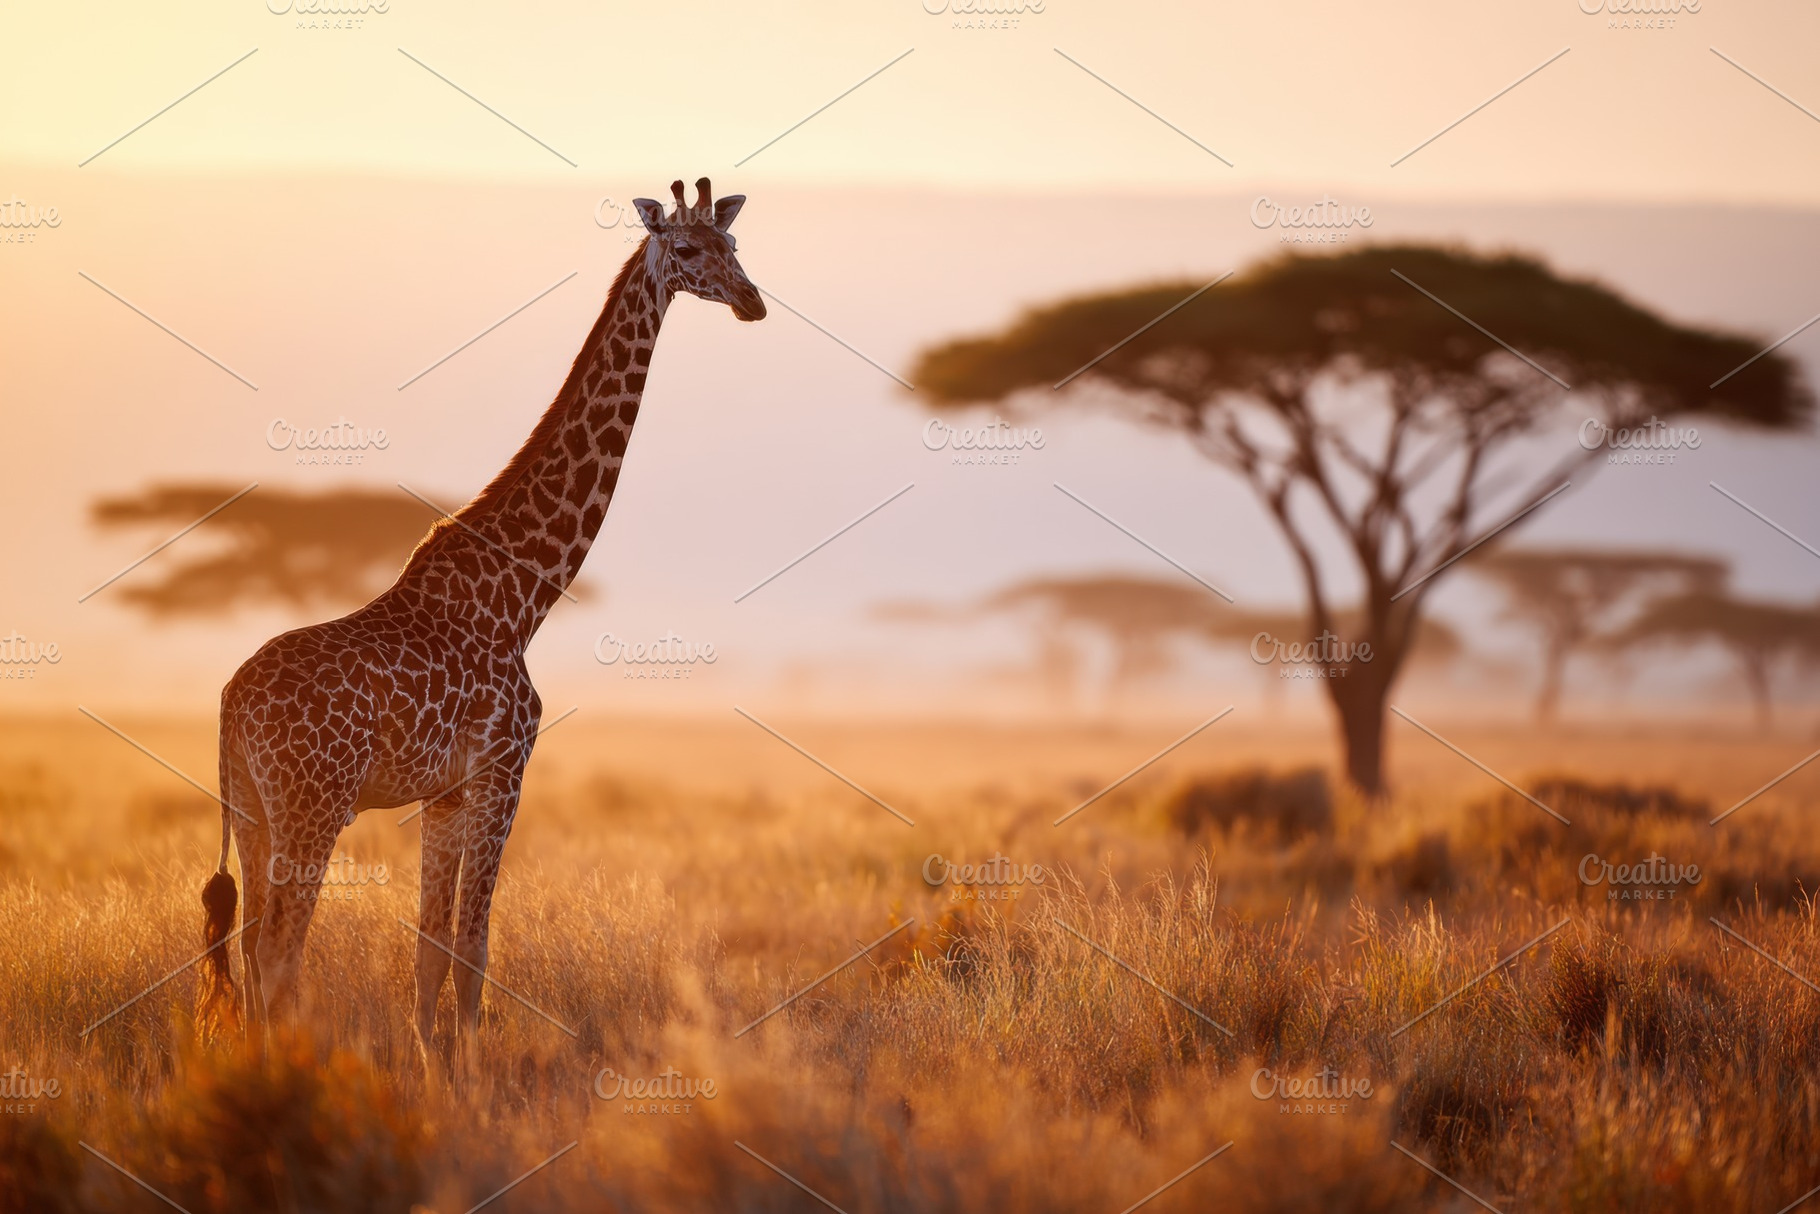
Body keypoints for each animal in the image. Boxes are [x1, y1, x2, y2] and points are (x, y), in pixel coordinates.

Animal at [197, 179, 763, 1074]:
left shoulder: (447, 792)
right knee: (279, 953)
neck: (523, 592)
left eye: (736, 246)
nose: (752, 302)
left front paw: (438, 1071)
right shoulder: (505, 770)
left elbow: (430, 949)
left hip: (251, 809)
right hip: (311, 808)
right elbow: (474, 948)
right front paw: (473, 1082)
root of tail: (231, 703)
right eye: (687, 251)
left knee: (252, 952)